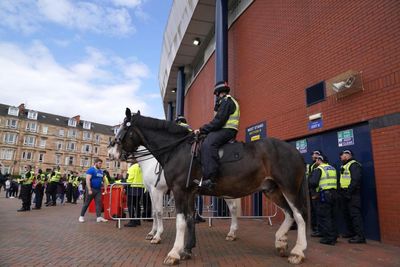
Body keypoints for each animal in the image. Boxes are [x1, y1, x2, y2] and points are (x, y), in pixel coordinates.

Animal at [108, 109, 310, 266]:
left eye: (123, 129)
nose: (111, 153)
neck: (177, 150)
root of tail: (295, 151)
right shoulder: (187, 192)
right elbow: (188, 219)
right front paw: (186, 249)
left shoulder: (175, 191)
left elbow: (175, 219)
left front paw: (172, 251)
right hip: (272, 190)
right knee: (288, 214)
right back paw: (280, 241)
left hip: (288, 188)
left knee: (299, 216)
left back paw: (297, 252)